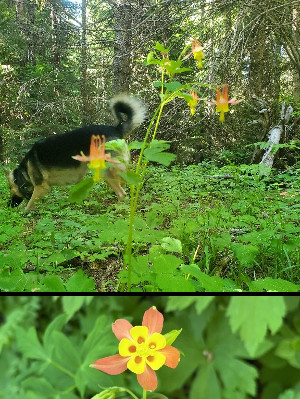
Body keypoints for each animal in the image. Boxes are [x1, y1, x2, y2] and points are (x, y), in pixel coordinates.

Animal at [5, 94, 146, 212]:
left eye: (10, 188)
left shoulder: (41, 188)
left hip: (110, 169)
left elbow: (28, 205)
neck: (25, 169)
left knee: (128, 187)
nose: (8, 205)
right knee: (122, 191)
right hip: (105, 172)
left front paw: (23, 213)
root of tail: (116, 129)